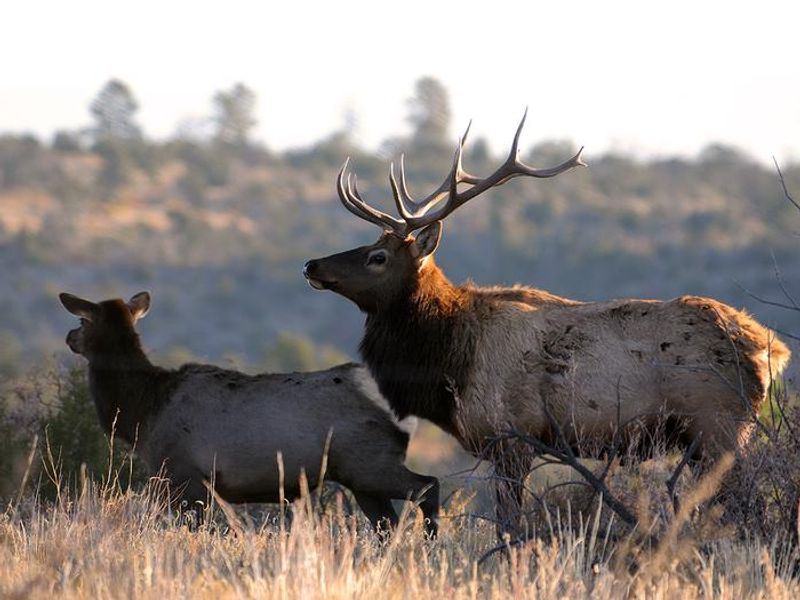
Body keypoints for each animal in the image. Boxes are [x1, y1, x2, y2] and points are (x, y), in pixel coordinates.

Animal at [58, 291, 439, 536]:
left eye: (81, 319)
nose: (69, 336)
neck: (145, 411)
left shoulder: (184, 473)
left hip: (369, 461)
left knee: (427, 486)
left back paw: (430, 544)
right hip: (360, 477)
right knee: (387, 523)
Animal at [302, 112, 791, 532]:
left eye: (377, 257)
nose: (311, 264)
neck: (450, 362)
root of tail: (772, 348)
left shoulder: (512, 437)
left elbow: (509, 521)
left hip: (719, 426)